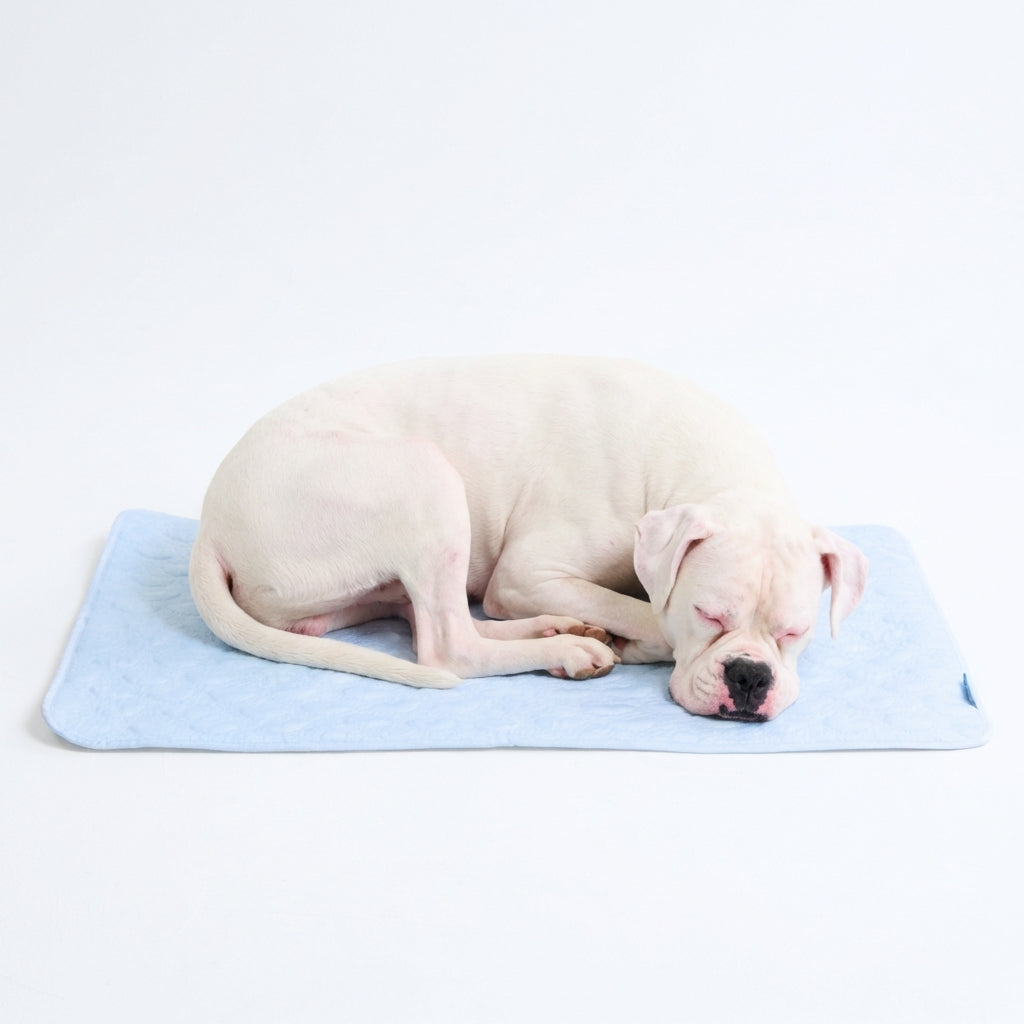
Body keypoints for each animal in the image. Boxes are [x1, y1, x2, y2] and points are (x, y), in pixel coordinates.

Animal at [189, 355, 867, 721]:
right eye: (709, 615)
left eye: (794, 634)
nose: (750, 678)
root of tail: (210, 527)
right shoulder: (526, 574)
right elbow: (647, 614)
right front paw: (641, 637)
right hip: (425, 475)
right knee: (448, 646)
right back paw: (568, 646)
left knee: (426, 617)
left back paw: (557, 632)